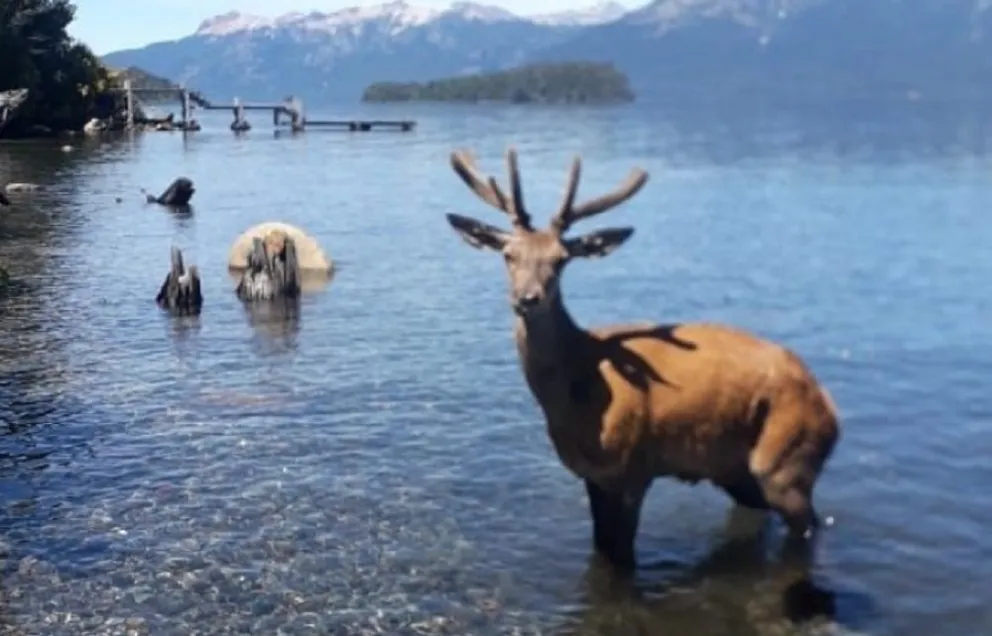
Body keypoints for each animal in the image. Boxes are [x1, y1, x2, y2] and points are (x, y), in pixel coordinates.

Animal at [444, 146, 841, 572]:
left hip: (787, 456)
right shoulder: (593, 476)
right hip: (737, 470)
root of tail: (830, 408)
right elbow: (603, 548)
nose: (527, 298)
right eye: (508, 254)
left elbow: (621, 555)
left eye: (561, 259)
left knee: (809, 523)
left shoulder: (634, 467)